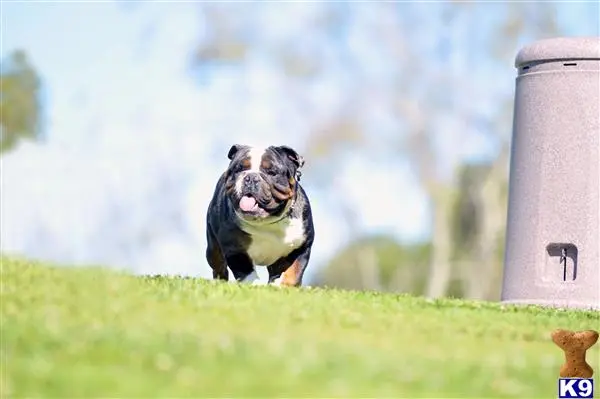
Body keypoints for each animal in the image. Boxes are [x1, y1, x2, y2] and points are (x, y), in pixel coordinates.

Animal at [205, 145, 314, 286]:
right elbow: (246, 271)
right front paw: (254, 285)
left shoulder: (302, 247)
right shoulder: (234, 248)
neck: (267, 220)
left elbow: (294, 271)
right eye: (239, 169)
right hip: (213, 250)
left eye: (271, 172)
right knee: (218, 265)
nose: (251, 177)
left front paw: (284, 285)